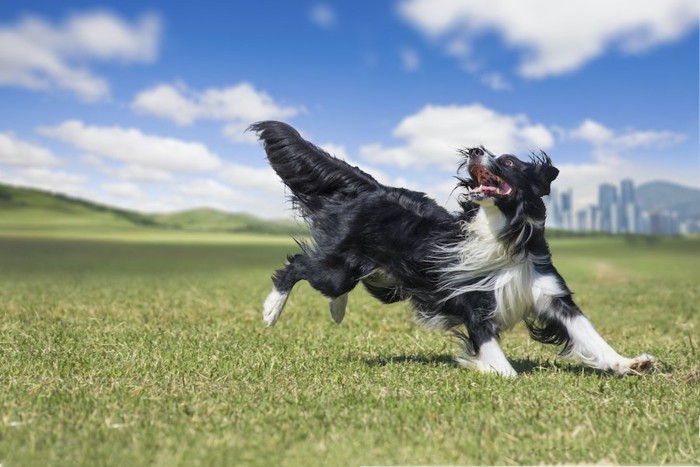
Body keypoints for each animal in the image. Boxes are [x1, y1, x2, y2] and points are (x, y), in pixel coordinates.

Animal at [252, 120, 656, 376]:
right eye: (488, 152)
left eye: (509, 161)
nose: (475, 149)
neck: (502, 234)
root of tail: (373, 188)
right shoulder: (475, 304)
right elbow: (503, 367)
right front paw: (485, 368)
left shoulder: (550, 293)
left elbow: (589, 333)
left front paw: (627, 363)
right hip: (336, 268)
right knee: (296, 265)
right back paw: (271, 311)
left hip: (375, 275)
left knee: (335, 284)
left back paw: (335, 311)